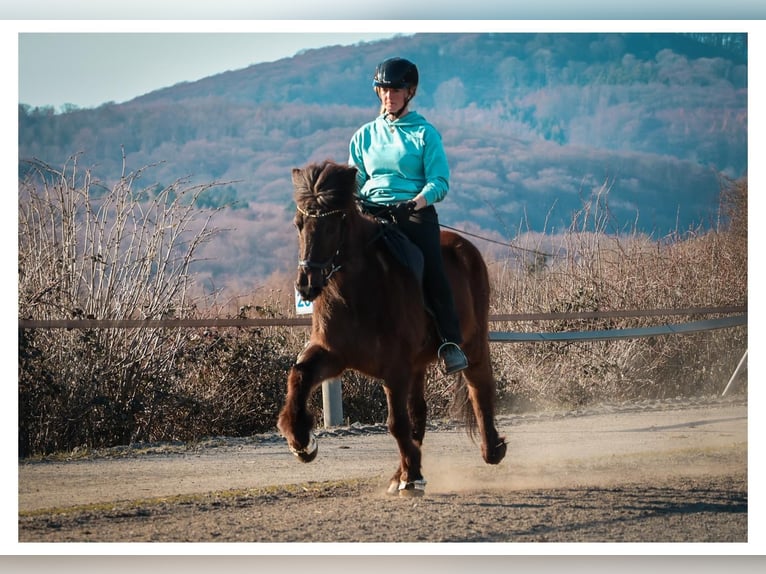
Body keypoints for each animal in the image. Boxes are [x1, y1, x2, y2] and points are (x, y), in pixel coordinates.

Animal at [277, 160, 507, 497]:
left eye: (332, 226)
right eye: (298, 224)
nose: (306, 285)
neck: (358, 291)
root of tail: (465, 247)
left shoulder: (395, 367)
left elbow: (396, 423)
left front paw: (412, 476)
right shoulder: (333, 354)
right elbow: (300, 374)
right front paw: (302, 442)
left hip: (472, 343)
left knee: (479, 386)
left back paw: (492, 450)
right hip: (418, 364)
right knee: (419, 413)